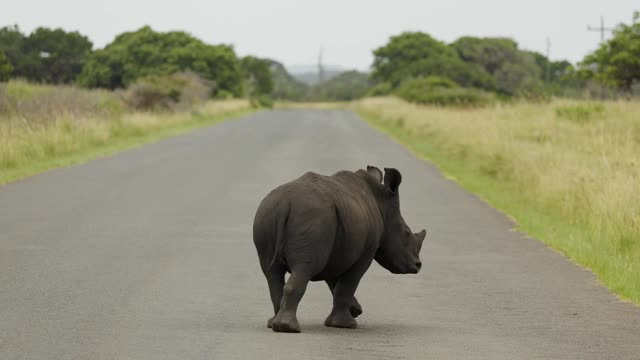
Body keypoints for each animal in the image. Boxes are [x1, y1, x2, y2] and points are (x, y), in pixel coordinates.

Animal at [252, 165, 428, 332]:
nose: (418, 265)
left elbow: (335, 282)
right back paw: (288, 328)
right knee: (305, 267)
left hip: (266, 214)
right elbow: (348, 284)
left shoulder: (338, 247)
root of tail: (285, 203)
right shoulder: (366, 251)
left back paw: (273, 324)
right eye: (406, 233)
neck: (381, 202)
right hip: (313, 219)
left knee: (272, 272)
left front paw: (355, 310)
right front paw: (346, 324)